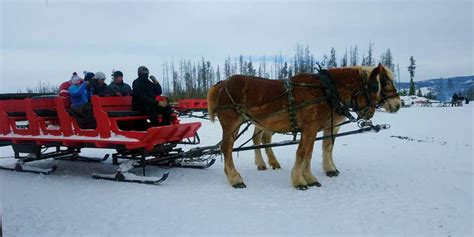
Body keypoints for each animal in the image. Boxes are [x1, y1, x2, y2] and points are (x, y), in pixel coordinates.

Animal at [207, 64, 400, 190]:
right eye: (380, 84)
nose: (398, 104)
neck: (326, 91)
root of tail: (222, 83)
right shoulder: (311, 127)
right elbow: (303, 152)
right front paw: (300, 180)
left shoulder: (315, 128)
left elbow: (313, 151)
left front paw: (312, 176)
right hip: (232, 123)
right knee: (227, 148)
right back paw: (235, 179)